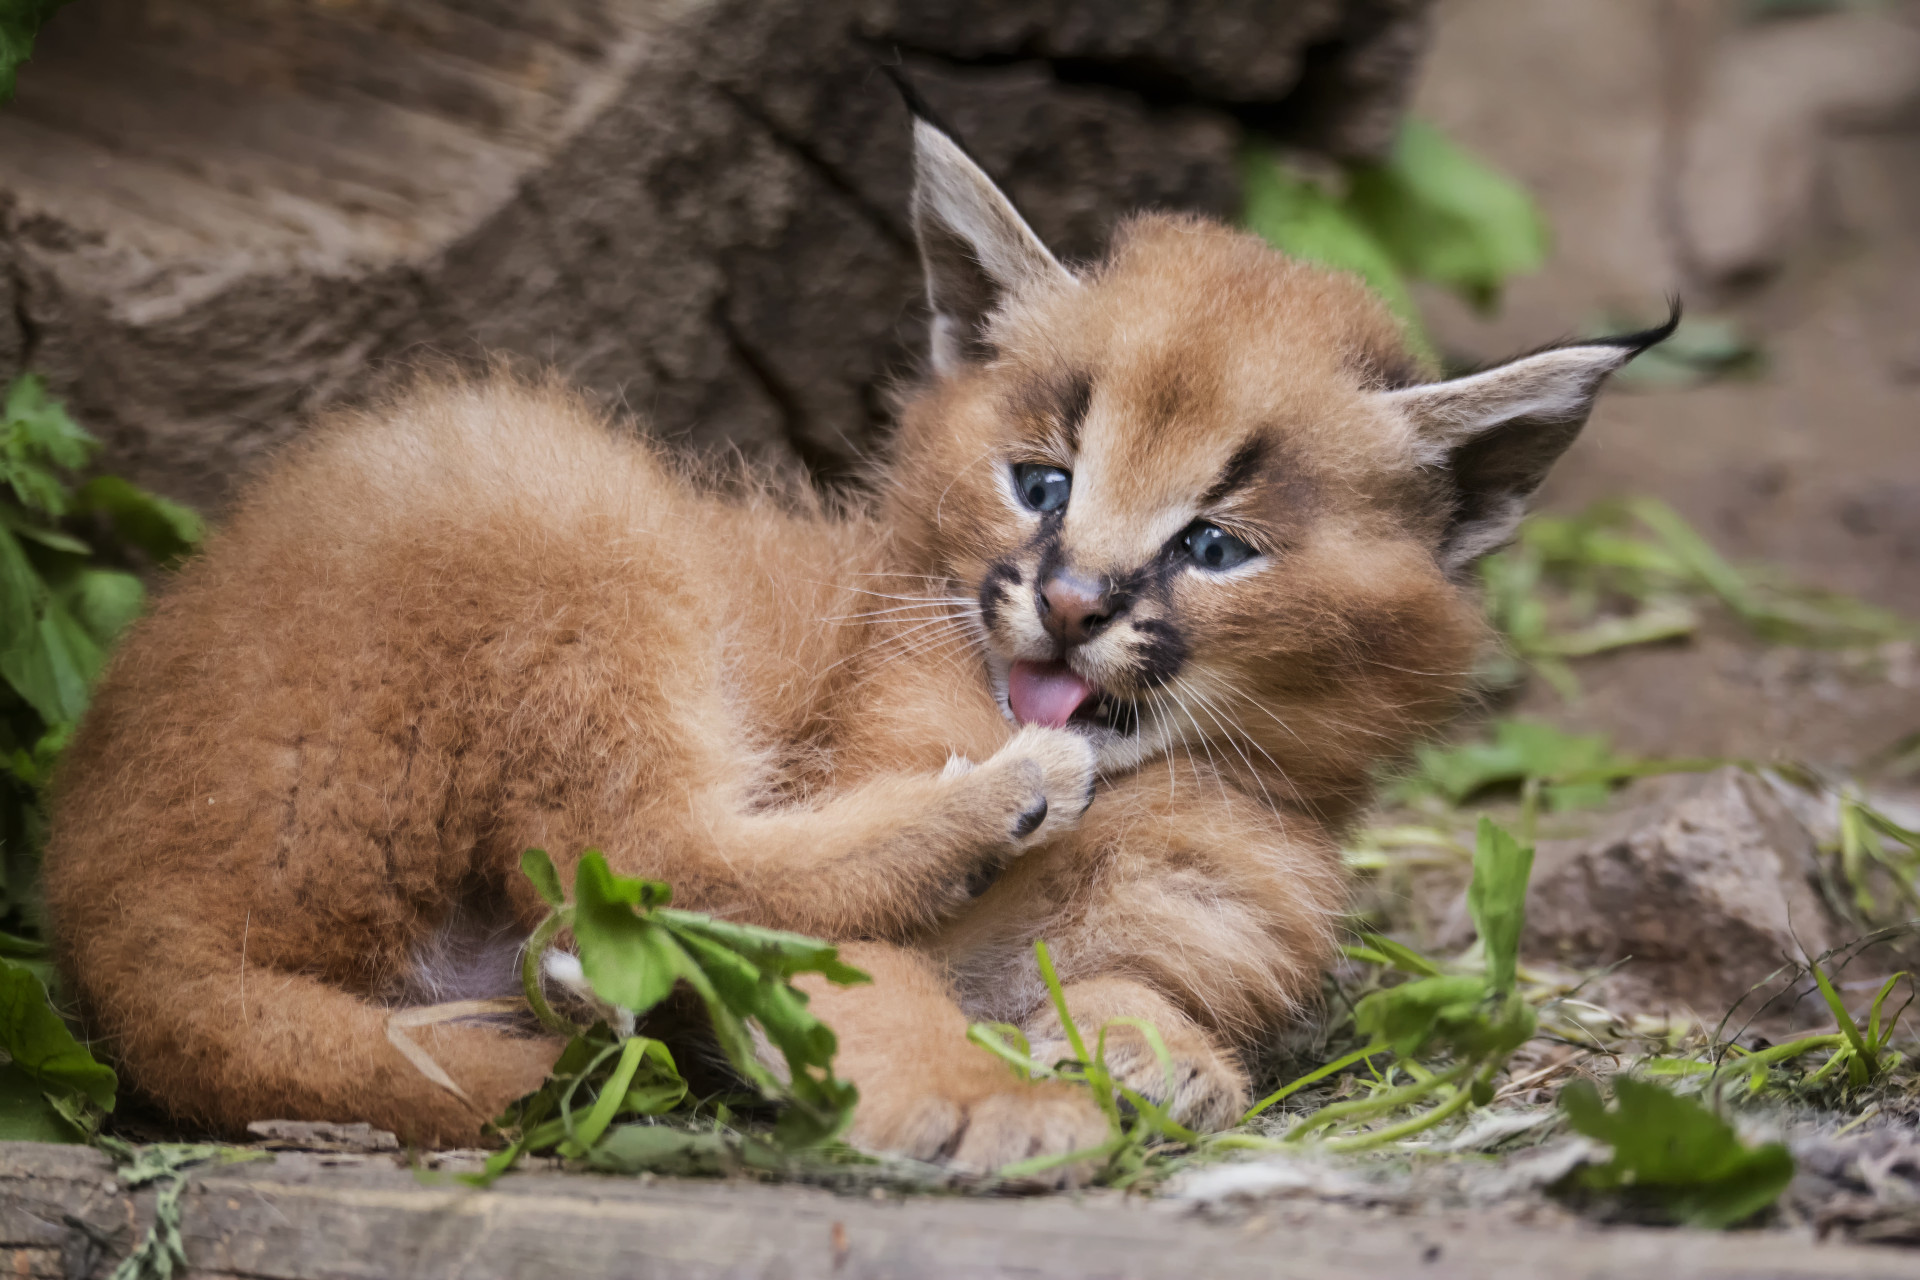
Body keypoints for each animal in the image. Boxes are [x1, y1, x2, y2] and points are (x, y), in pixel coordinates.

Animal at [41, 105, 1666, 1174]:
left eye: (1214, 545)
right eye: (1043, 481)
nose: (1072, 602)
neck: (1191, 782)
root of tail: (100, 908)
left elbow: (1121, 984)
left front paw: (1158, 1059)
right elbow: (866, 969)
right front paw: (986, 1096)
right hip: (546, 483)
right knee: (647, 857)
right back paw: (989, 808)